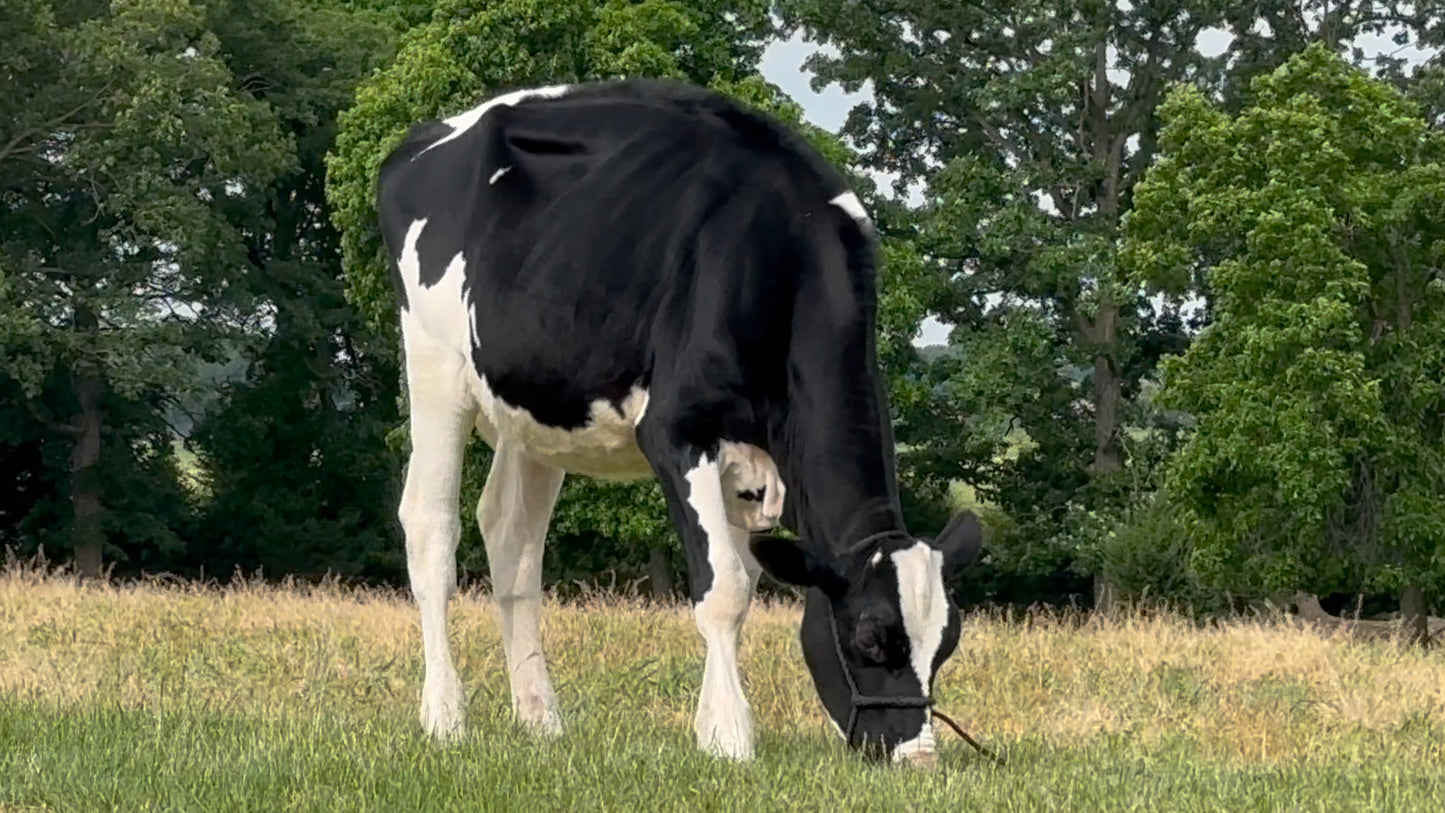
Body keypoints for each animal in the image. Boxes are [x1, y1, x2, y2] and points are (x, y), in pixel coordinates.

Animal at [374, 77, 981, 766]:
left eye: (947, 645)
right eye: (869, 638)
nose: (919, 759)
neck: (779, 256)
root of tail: (428, 137)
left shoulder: (750, 466)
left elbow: (744, 578)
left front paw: (719, 724)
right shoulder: (676, 432)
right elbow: (725, 590)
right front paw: (730, 736)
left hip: (534, 409)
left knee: (510, 540)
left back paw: (540, 718)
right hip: (435, 367)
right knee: (430, 530)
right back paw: (444, 718)